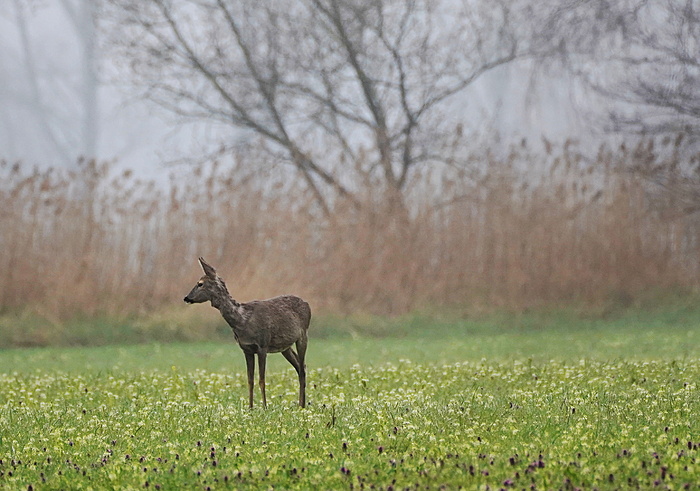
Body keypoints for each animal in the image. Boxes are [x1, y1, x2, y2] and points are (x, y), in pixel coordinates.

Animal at [183, 258, 308, 408]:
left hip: (303, 335)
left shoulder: (262, 345)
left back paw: (302, 405)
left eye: (200, 283)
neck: (243, 319)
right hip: (285, 347)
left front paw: (264, 407)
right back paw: (301, 404)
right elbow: (250, 380)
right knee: (300, 366)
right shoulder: (246, 349)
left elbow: (261, 379)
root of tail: (307, 304)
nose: (186, 297)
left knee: (302, 368)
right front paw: (250, 407)